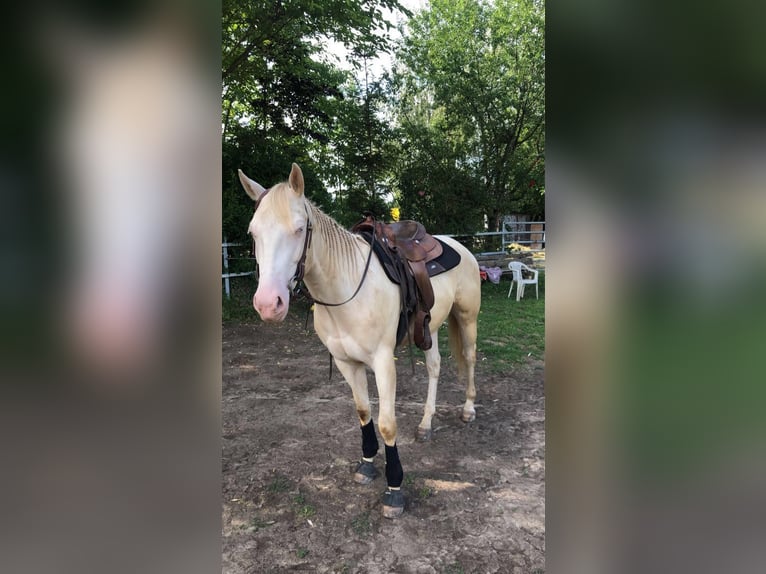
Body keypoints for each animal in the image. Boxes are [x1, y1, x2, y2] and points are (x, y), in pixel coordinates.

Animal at [240, 164, 484, 520]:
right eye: (253, 233)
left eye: (299, 229)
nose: (269, 304)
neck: (347, 288)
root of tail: (459, 246)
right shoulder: (346, 362)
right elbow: (363, 411)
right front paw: (367, 463)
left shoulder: (383, 363)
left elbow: (387, 424)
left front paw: (394, 488)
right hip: (431, 328)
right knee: (435, 368)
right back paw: (426, 424)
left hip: (466, 319)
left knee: (469, 358)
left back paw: (468, 409)